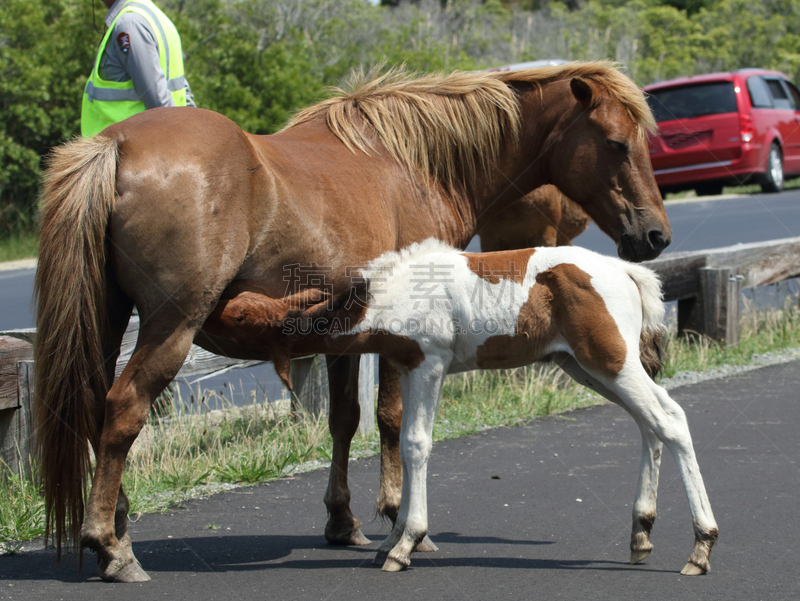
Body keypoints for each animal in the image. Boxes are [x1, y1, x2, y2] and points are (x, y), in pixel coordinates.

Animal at [34, 62, 668, 580]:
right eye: (616, 143)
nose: (656, 235)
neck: (414, 164)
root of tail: (116, 143)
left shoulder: (345, 338)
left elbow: (344, 420)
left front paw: (343, 521)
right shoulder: (398, 339)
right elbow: (391, 419)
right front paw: (399, 518)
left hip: (109, 321)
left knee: (94, 412)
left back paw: (117, 526)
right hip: (171, 327)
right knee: (123, 410)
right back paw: (111, 548)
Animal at [212, 239, 720, 576]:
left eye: (239, 318)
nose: (205, 319)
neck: (391, 293)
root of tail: (627, 271)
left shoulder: (430, 362)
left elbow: (416, 444)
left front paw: (405, 543)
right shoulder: (408, 366)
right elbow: (406, 440)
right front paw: (393, 538)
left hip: (610, 362)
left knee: (670, 420)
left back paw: (701, 545)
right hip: (586, 367)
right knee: (650, 424)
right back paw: (641, 532)